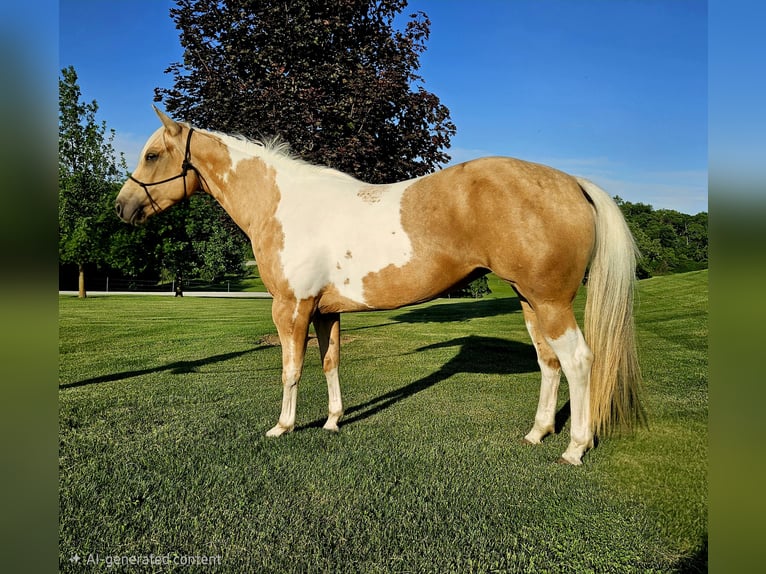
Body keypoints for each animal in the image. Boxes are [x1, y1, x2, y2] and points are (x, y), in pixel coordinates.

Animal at [115, 107, 644, 465]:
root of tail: (572, 181)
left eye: (152, 154)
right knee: (549, 362)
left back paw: (574, 448)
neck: (285, 204)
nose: (122, 207)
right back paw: (537, 433)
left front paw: (283, 426)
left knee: (578, 361)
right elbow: (330, 362)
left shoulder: (291, 307)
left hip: (551, 302)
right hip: (530, 300)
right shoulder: (325, 311)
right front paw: (333, 420)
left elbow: (291, 370)